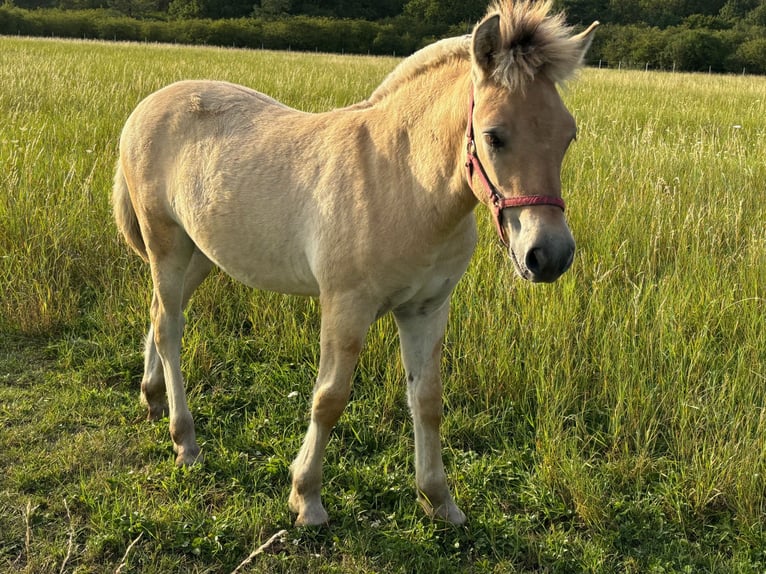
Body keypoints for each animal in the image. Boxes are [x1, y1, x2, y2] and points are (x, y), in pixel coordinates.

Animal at [113, 0, 598, 526]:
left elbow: (427, 400)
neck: (403, 182)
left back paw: (153, 399)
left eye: (569, 135)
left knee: (160, 314)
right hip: (167, 245)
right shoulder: (346, 306)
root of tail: (146, 106)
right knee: (169, 327)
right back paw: (185, 441)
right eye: (494, 136)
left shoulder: (427, 309)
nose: (548, 255)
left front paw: (439, 500)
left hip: (200, 253)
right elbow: (330, 398)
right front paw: (306, 497)